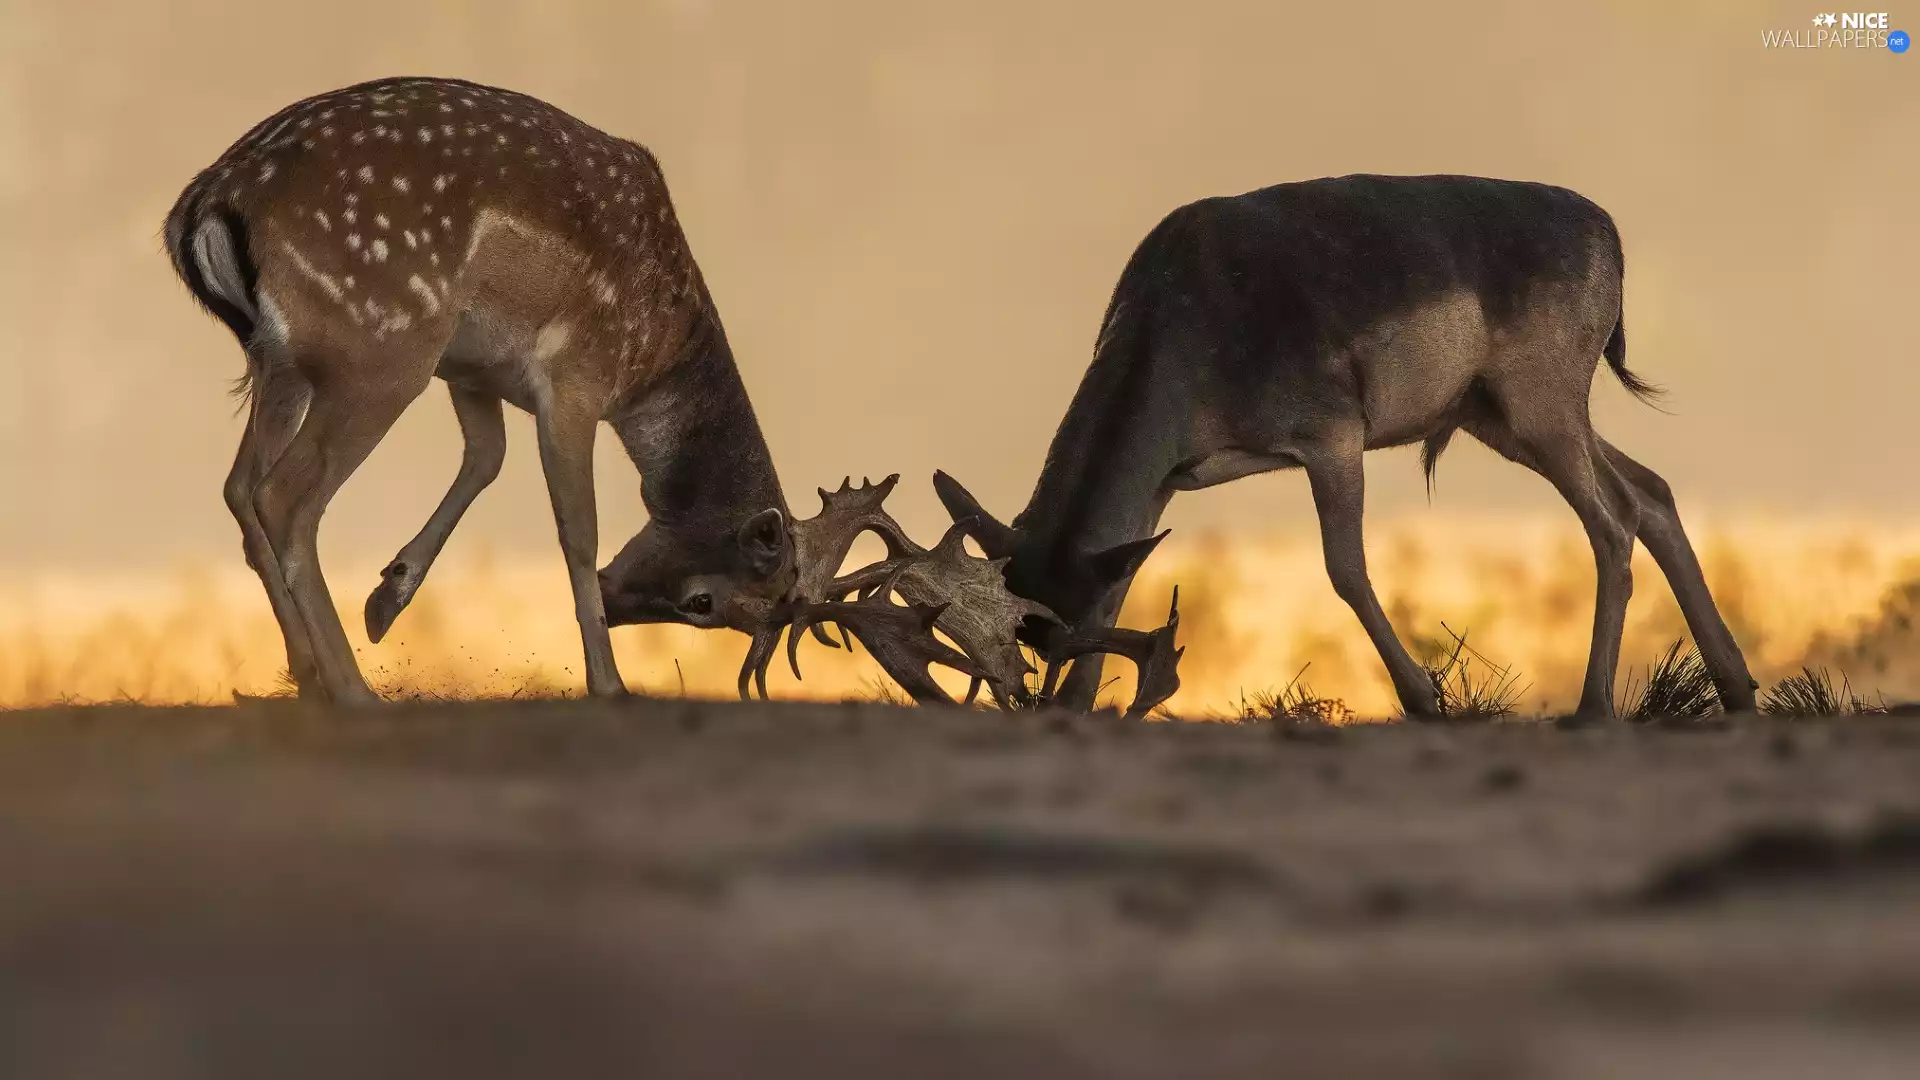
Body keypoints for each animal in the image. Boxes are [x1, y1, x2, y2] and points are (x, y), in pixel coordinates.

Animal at [933, 174, 1759, 720]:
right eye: (1030, 628)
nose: (1039, 700)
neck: (1185, 340)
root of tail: (1608, 231)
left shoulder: (1332, 434)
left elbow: (1344, 569)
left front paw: (1425, 697)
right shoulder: (1168, 477)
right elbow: (1128, 570)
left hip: (1543, 402)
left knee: (1614, 520)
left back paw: (1593, 708)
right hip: (1500, 415)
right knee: (1652, 491)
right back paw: (1737, 688)